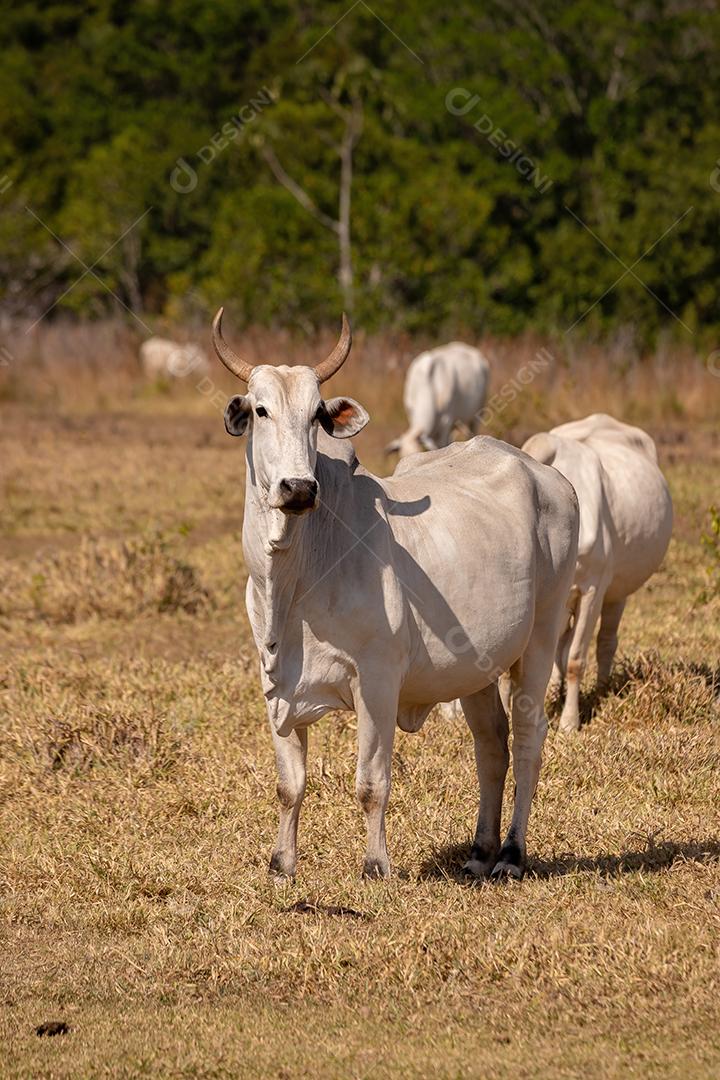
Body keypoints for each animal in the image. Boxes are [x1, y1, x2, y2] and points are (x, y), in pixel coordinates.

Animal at [212, 309, 579, 881]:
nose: (299, 488)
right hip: (477, 666)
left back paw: (511, 855)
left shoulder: (378, 681)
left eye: (316, 415)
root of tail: (551, 477)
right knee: (490, 744)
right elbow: (289, 785)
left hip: (541, 635)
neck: (296, 575)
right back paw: (479, 852)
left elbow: (371, 782)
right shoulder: (275, 684)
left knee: (527, 735)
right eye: (261, 410)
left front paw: (375, 865)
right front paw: (281, 864)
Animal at [522, 414, 673, 734]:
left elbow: (575, 658)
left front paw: (569, 722)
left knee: (605, 641)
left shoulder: (592, 589)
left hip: (618, 588)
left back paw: (603, 688)